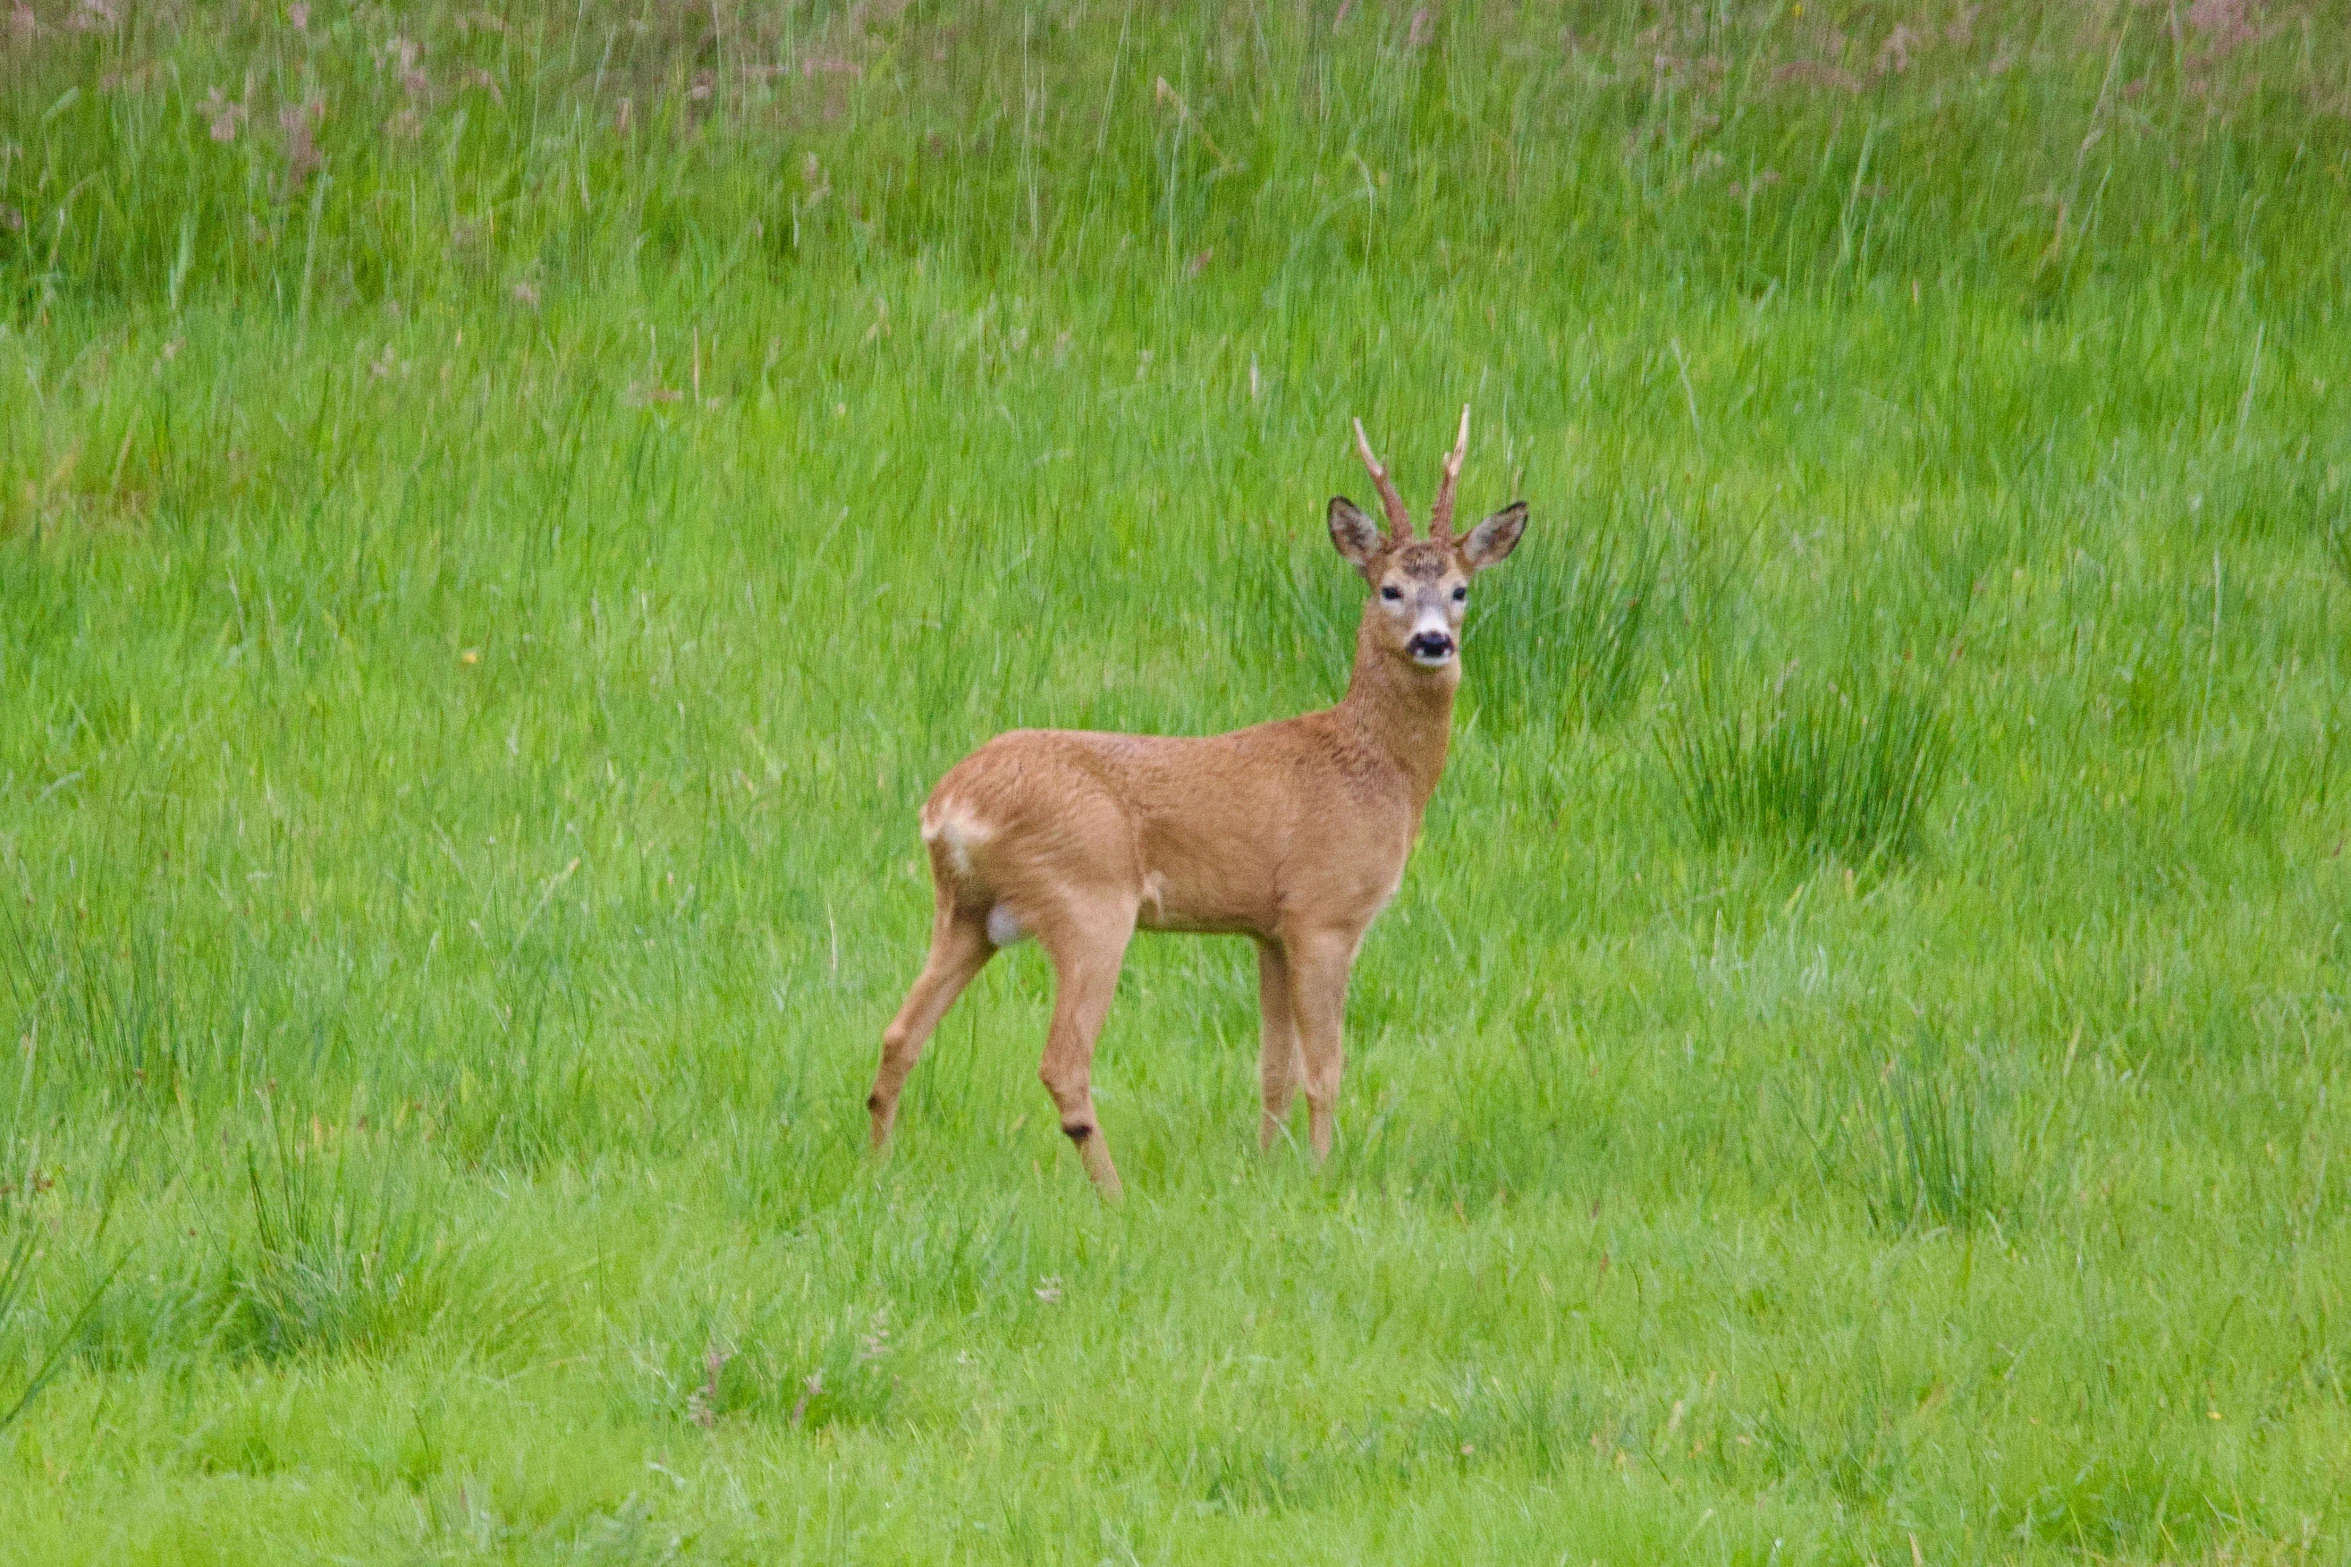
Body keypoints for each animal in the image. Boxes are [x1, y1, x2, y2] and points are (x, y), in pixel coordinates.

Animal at [865, 408, 1523, 1202]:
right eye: (1389, 588)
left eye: (1460, 589)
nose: (1433, 641)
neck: (1375, 770)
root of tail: (948, 805)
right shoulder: (1325, 911)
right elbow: (1324, 1068)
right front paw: (1321, 1175)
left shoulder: (1266, 927)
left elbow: (1273, 1069)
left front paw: (1267, 1170)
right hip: (1088, 898)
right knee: (1062, 1061)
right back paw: (1115, 1195)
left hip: (965, 912)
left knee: (899, 1034)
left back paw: (879, 1169)